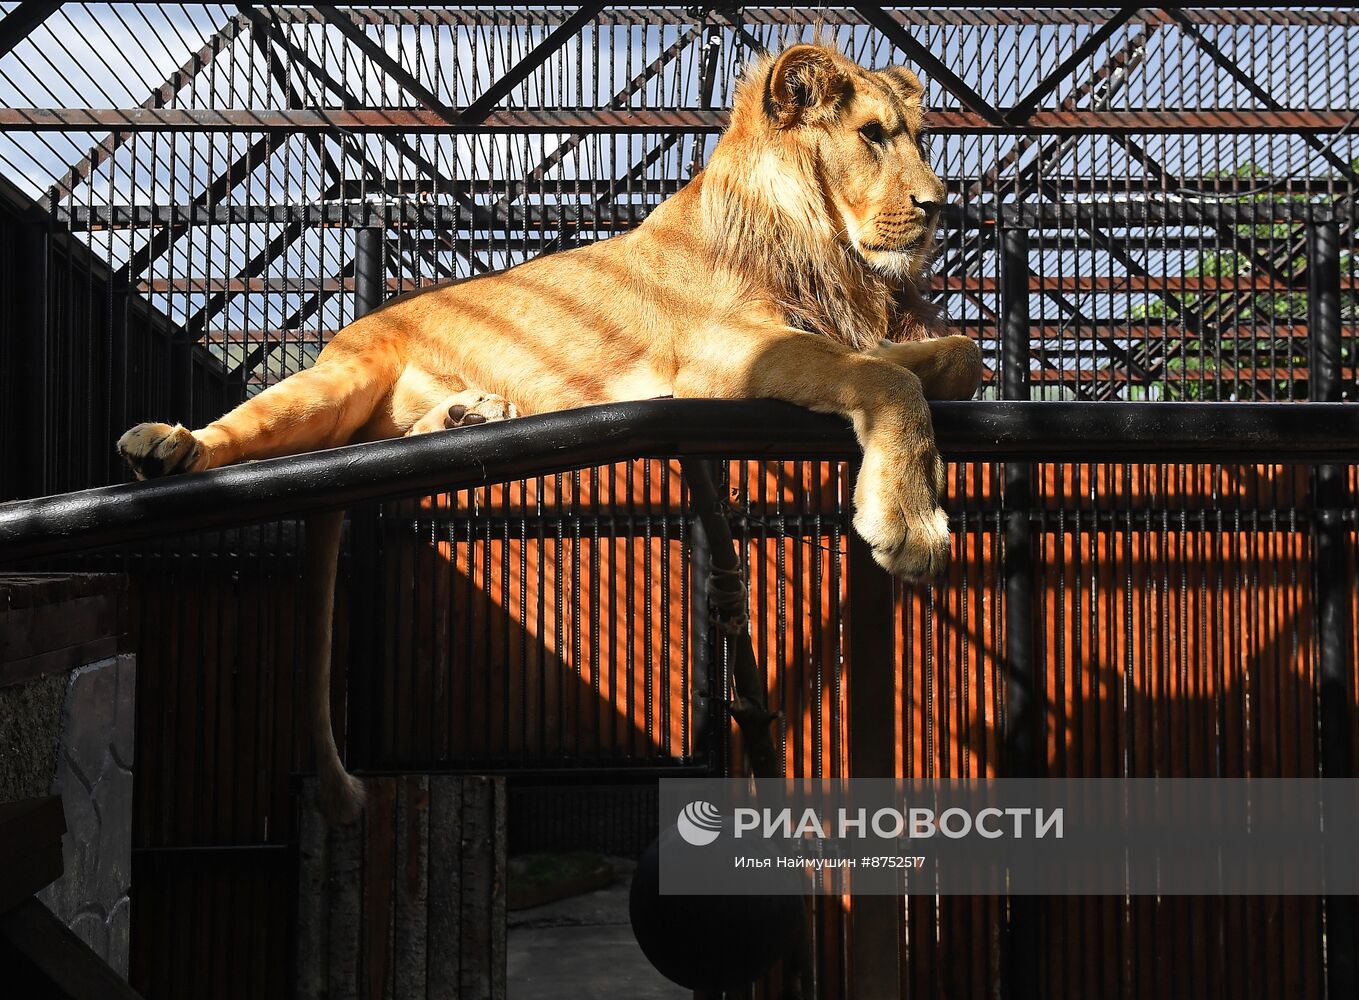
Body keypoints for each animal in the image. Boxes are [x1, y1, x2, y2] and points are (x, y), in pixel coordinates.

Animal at [114, 42, 978, 820]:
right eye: (872, 134)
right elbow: (889, 381)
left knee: (393, 436)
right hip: (332, 382)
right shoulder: (720, 355)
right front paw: (910, 523)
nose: (940, 207)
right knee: (253, 430)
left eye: (917, 136)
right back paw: (167, 445)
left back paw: (467, 412)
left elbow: (959, 357)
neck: (819, 247)